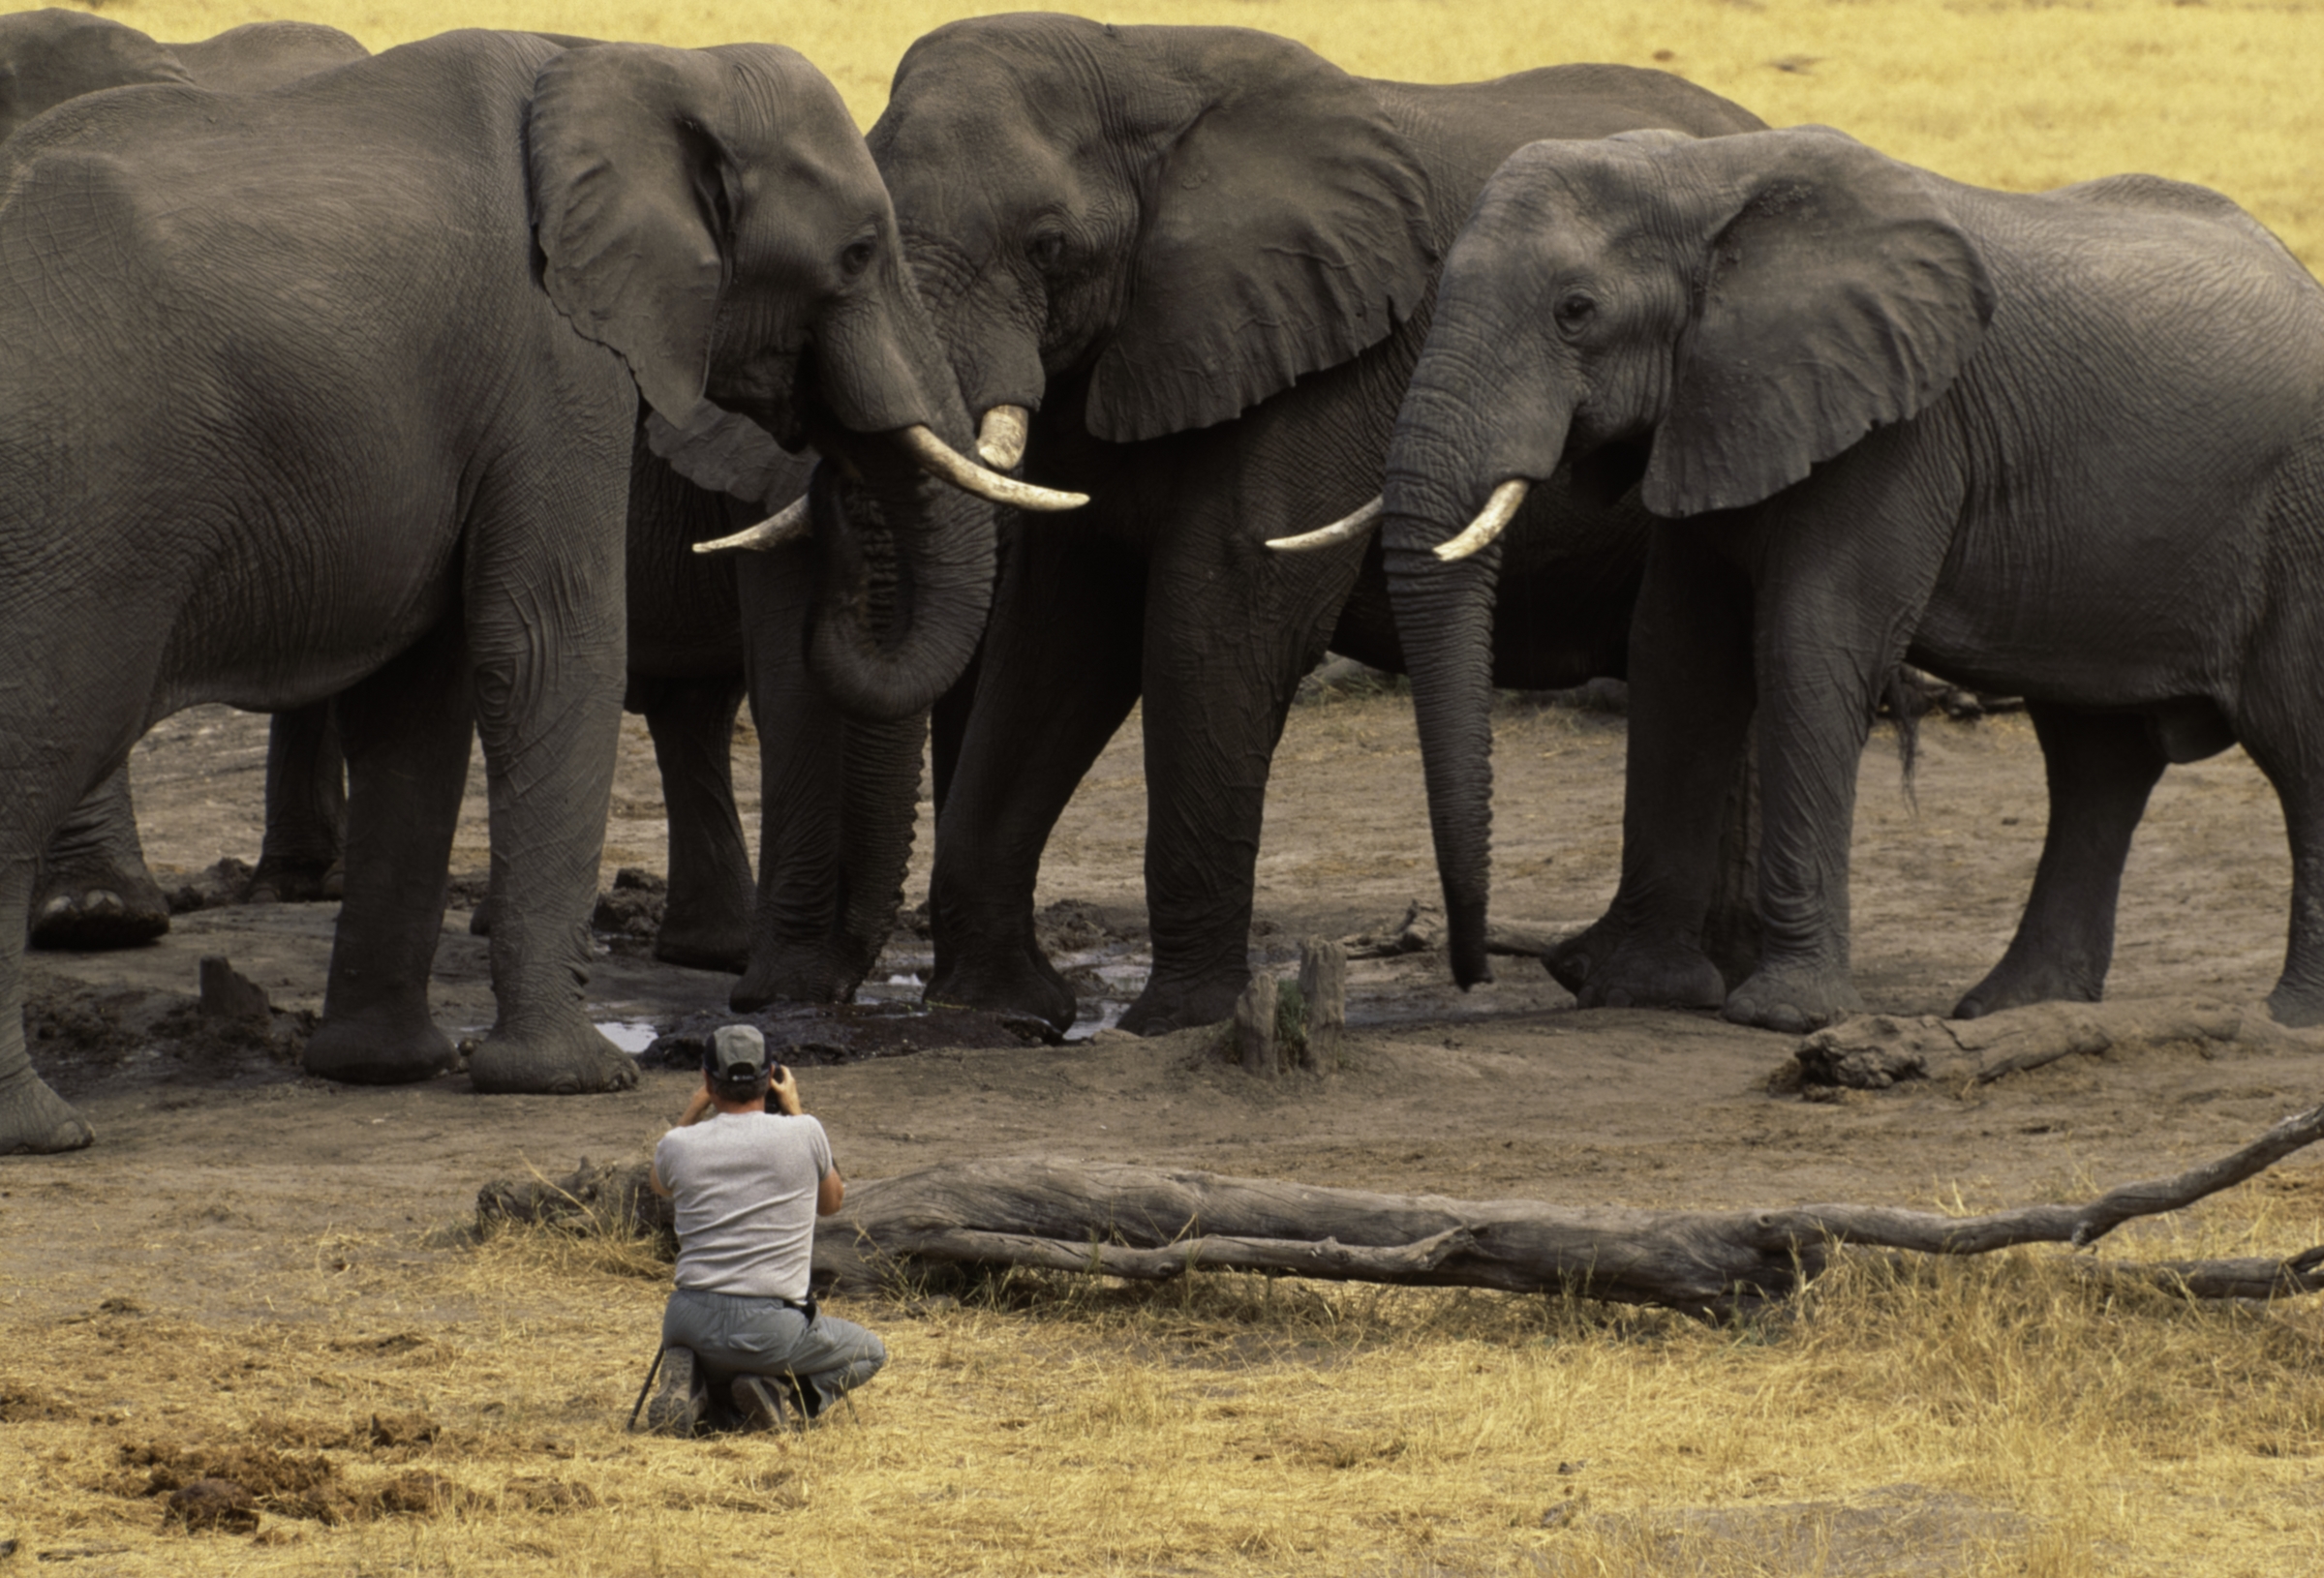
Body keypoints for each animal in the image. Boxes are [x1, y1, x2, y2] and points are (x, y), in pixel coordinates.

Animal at [0, 29, 1031, 1154]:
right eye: (856, 254)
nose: (835, 485)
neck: (640, 68)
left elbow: (420, 699)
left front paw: (384, 1069)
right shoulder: (553, 359)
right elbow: (548, 648)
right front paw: (573, 1081)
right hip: (74, 510)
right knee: (42, 740)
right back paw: (42, 1127)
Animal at [864, 16, 1766, 1034]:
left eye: (1048, 246)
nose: (1469, 976)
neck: (1141, 57)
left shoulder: (1331, 361)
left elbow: (1218, 628)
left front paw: (1176, 1024)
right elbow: (1059, 641)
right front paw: (1000, 1015)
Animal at [1378, 123, 2324, 1034]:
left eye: (1575, 311)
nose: (1470, 970)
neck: (1704, 178)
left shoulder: (1899, 430)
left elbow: (1809, 644)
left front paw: (1781, 1017)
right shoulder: (1717, 406)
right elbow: (1680, 656)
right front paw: (1629, 989)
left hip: (2301, 524)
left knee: (2293, 740)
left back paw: (2287, 1021)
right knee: (2096, 760)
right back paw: (2013, 1010)